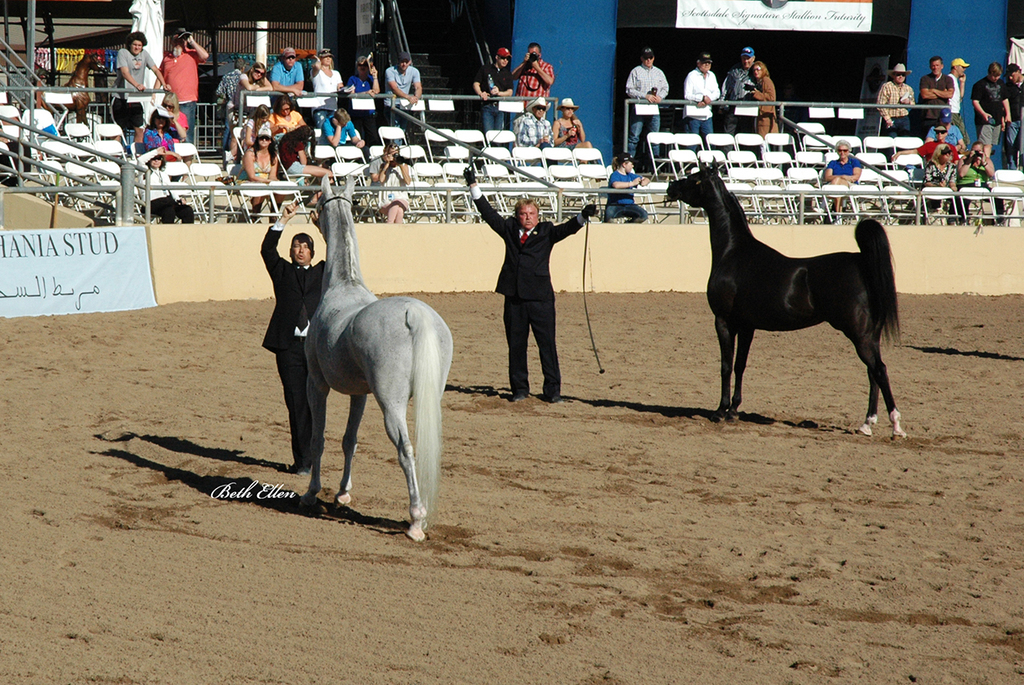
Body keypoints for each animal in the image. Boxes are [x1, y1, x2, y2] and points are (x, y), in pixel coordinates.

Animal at [300, 177, 454, 540]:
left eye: (318, 201)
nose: (310, 219)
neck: (344, 285)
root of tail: (415, 313)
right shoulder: (359, 394)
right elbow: (349, 441)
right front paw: (342, 493)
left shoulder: (317, 385)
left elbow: (318, 438)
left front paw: (312, 492)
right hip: (426, 396)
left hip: (391, 403)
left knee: (406, 450)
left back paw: (415, 521)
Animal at [665, 161, 906, 438]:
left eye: (695, 178)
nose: (671, 188)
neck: (733, 253)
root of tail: (861, 261)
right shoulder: (746, 327)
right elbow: (740, 365)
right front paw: (734, 410)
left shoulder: (723, 322)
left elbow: (726, 365)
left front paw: (720, 411)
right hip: (869, 336)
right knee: (872, 372)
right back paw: (867, 423)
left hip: (860, 334)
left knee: (879, 370)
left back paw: (896, 426)